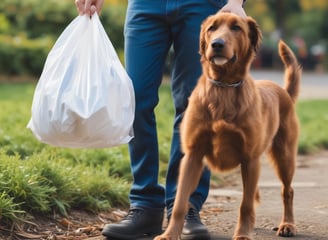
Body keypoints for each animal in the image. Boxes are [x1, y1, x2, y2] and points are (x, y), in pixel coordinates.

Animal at [155, 12, 302, 240]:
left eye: (236, 28)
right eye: (212, 28)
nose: (217, 44)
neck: (223, 86)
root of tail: (283, 91)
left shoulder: (250, 159)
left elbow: (245, 205)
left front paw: (242, 234)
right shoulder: (193, 156)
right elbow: (180, 202)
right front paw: (170, 234)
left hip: (284, 156)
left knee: (286, 191)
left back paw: (287, 224)